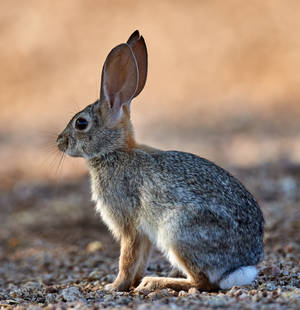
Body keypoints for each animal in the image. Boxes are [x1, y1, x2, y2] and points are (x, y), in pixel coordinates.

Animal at [57, 30, 264, 292]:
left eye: (81, 123)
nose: (59, 142)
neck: (114, 152)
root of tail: (239, 266)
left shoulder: (129, 224)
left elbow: (126, 258)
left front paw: (114, 286)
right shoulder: (143, 233)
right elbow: (140, 258)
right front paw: (130, 283)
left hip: (177, 231)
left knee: (202, 282)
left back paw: (155, 282)